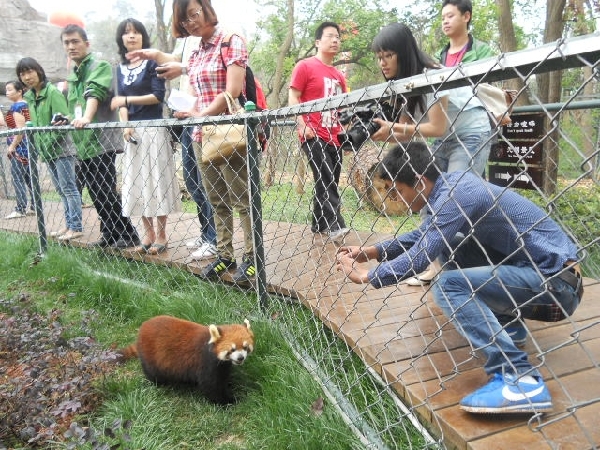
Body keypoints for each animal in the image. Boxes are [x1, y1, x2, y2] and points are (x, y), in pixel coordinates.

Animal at [118, 316, 255, 404]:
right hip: (151, 356)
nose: (240, 357)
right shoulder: (206, 364)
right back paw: (160, 383)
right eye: (232, 349)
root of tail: (143, 327)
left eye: (245, 347)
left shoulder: (222, 366)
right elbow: (211, 386)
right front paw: (227, 401)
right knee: (152, 372)